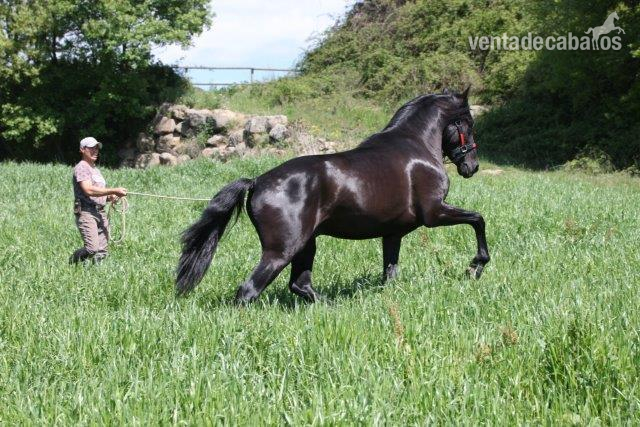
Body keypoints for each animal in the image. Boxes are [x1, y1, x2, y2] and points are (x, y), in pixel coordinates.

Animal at [176, 87, 490, 304]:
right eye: (469, 123)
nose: (472, 166)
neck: (416, 146)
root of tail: (257, 182)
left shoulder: (393, 233)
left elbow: (390, 272)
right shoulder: (434, 213)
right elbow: (478, 219)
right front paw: (475, 267)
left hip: (306, 245)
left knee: (300, 285)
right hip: (282, 250)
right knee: (249, 290)